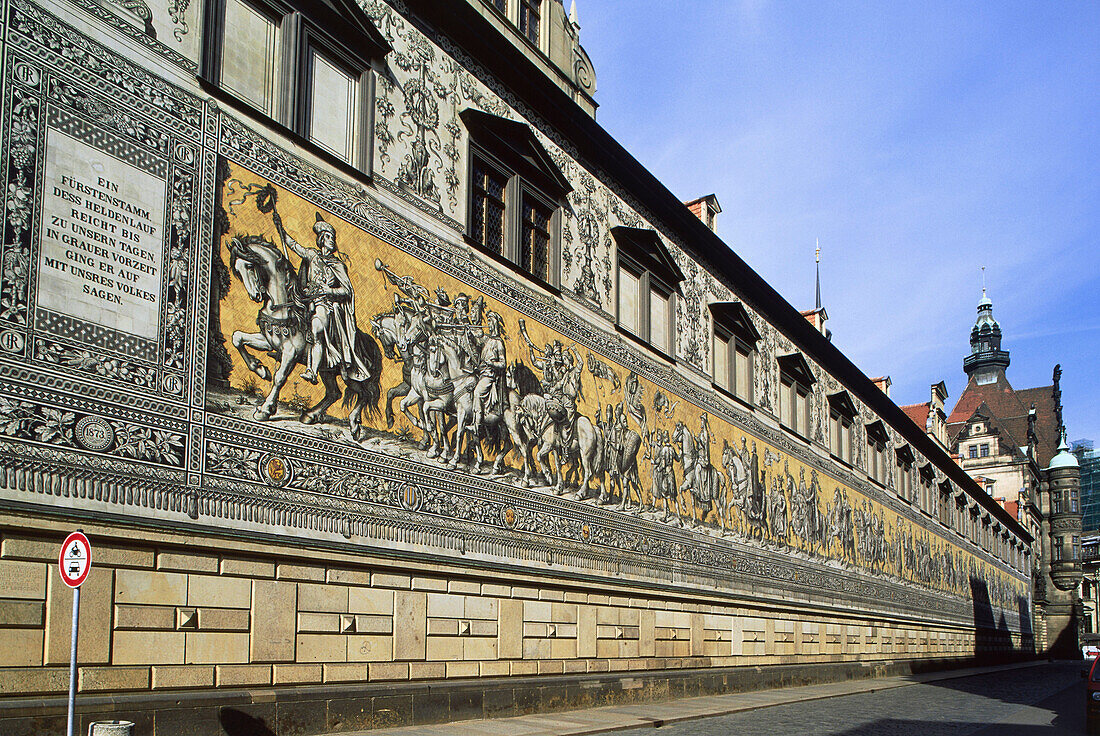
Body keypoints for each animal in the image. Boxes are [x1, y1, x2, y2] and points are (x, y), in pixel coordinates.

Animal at [226, 235, 382, 435]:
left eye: (249, 266)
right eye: (237, 270)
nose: (255, 296)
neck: (286, 309)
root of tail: (372, 344)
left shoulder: (291, 353)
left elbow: (279, 378)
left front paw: (265, 409)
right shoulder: (270, 342)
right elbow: (237, 338)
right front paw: (260, 369)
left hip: (353, 374)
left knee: (365, 393)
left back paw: (353, 423)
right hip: (329, 370)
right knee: (336, 393)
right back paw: (311, 415)